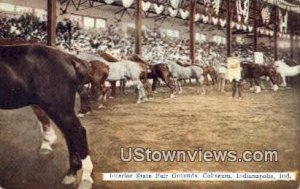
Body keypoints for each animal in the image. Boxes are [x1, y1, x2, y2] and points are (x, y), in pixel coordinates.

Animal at [0, 44, 92, 188]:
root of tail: (68, 57)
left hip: (59, 108)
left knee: (77, 132)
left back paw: (85, 177)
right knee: (69, 133)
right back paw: (72, 172)